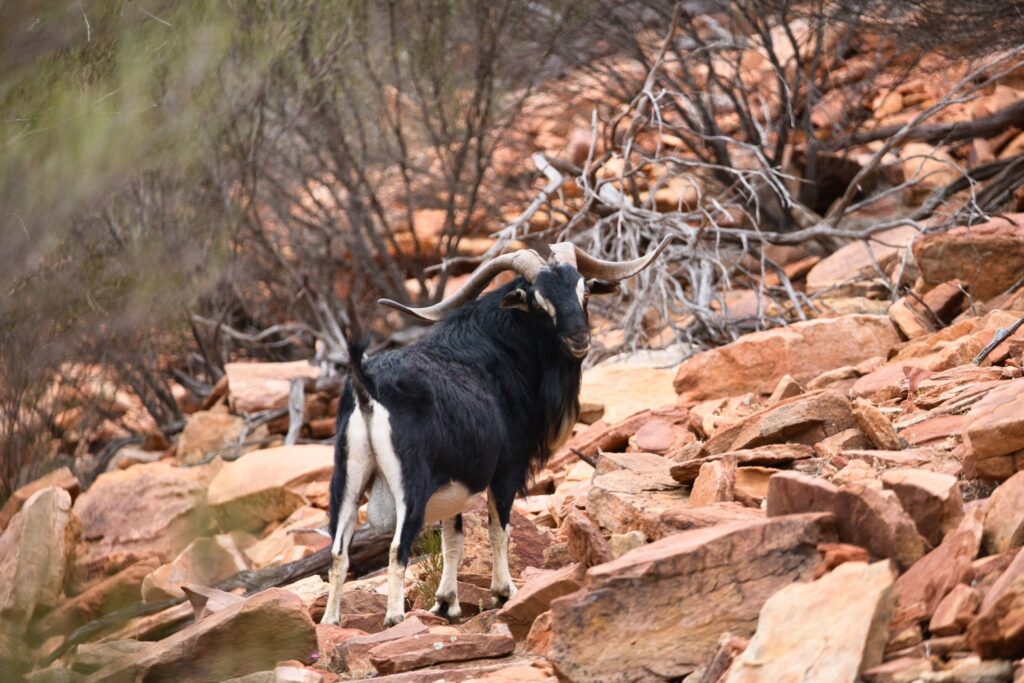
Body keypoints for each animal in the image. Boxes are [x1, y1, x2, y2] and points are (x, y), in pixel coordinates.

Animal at [323, 239, 667, 626]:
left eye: (584, 291)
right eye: (539, 302)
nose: (578, 339)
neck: (497, 351)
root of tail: (367, 387)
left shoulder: (455, 483)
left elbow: (453, 539)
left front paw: (447, 603)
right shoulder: (506, 469)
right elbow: (498, 529)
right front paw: (504, 592)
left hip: (348, 481)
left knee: (338, 552)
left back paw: (331, 621)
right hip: (409, 486)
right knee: (398, 547)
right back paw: (395, 618)